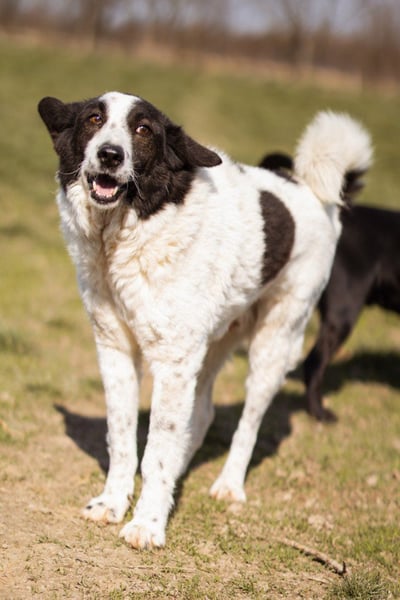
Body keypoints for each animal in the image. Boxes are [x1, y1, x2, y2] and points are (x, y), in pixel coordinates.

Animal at [38, 94, 372, 548]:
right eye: (93, 119)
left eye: (143, 130)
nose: (110, 154)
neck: (129, 234)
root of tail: (306, 187)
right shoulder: (116, 352)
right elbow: (122, 439)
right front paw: (113, 502)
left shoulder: (173, 364)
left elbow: (157, 450)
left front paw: (148, 523)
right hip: (212, 345)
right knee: (202, 416)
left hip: (273, 345)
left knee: (247, 424)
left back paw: (229, 484)